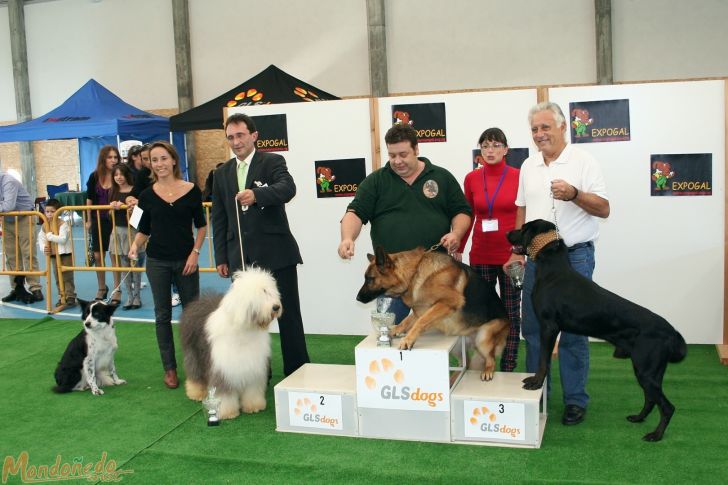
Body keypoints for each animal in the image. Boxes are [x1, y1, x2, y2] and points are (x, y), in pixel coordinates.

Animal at [356, 248, 506, 380]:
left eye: (369, 279)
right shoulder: (422, 308)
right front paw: (394, 331)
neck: (414, 274)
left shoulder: (448, 302)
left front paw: (408, 340)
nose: (357, 298)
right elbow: (408, 320)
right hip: (458, 347)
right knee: (466, 362)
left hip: (483, 337)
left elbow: (421, 321)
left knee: (491, 359)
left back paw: (487, 371)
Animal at [506, 221, 688, 440]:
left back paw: (656, 435)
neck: (552, 269)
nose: (507, 233)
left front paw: (536, 382)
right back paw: (638, 418)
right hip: (650, 371)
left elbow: (543, 361)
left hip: (646, 369)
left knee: (667, 407)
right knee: (651, 398)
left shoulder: (549, 327)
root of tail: (671, 331)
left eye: (523, 228)